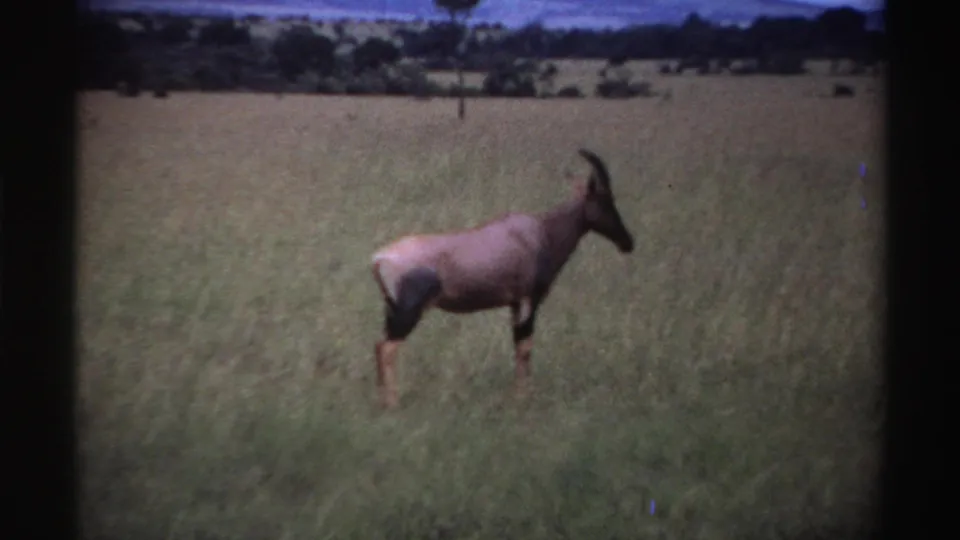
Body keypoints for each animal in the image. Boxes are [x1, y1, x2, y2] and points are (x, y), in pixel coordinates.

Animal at [370, 149, 635, 409]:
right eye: (606, 201)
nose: (628, 243)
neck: (539, 232)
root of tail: (379, 259)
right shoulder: (531, 299)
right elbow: (525, 345)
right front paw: (523, 398)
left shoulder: (515, 303)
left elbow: (517, 343)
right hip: (408, 313)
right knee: (387, 349)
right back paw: (393, 404)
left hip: (391, 311)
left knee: (378, 345)